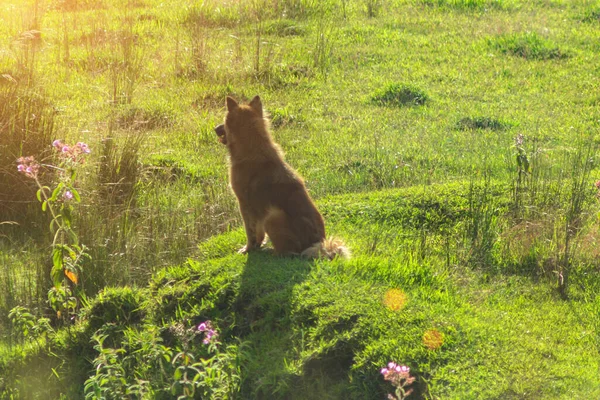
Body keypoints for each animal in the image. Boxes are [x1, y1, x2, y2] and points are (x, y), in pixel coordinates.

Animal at [214, 96, 346, 260]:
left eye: (223, 122)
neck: (252, 148)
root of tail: (318, 244)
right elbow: (258, 232)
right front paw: (258, 245)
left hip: (273, 216)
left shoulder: (245, 204)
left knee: (288, 252)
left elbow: (250, 232)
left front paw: (248, 249)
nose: (215, 128)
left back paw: (272, 253)